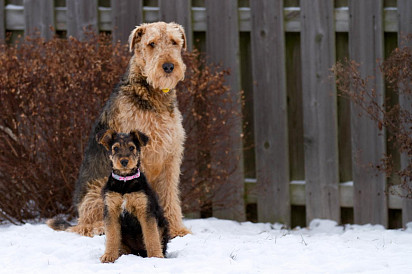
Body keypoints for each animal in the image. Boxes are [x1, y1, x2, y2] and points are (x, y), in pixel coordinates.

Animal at [97, 130, 170, 262]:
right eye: (115, 148)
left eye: (132, 147)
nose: (124, 161)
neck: (125, 181)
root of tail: (137, 252)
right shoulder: (111, 210)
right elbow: (112, 236)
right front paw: (108, 256)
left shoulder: (145, 210)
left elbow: (151, 236)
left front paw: (155, 256)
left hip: (163, 225)